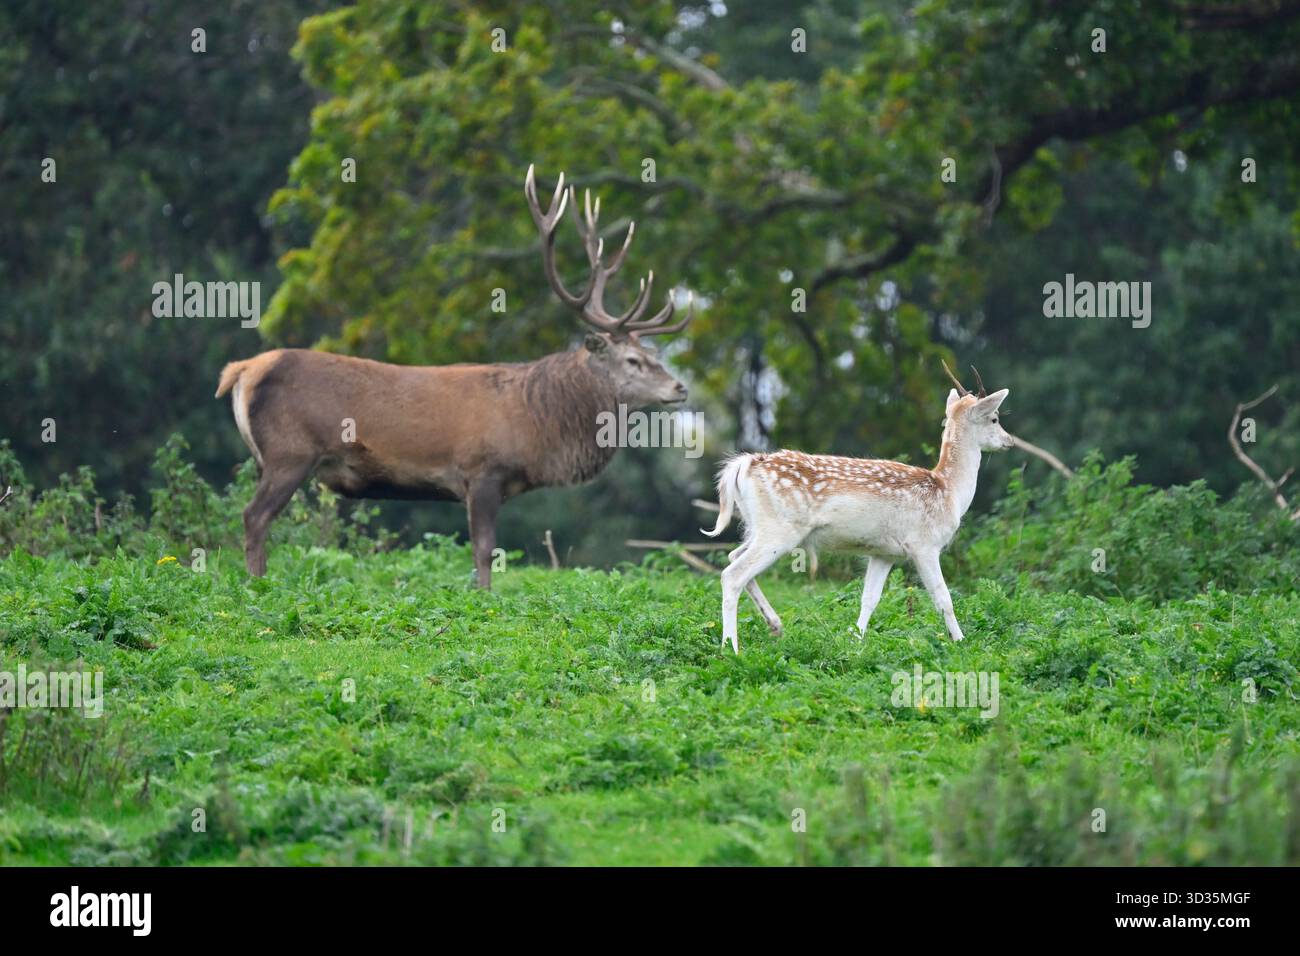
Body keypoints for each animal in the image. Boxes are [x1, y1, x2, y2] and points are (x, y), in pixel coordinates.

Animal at [215, 166, 693, 588]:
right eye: (632, 360)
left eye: (652, 353)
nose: (680, 387)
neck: (536, 422)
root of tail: (242, 370)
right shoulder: (481, 471)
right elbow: (484, 550)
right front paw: (484, 598)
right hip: (290, 452)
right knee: (254, 516)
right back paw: (259, 587)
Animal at [702, 362, 1013, 652]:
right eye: (995, 418)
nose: (1009, 441)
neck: (949, 492)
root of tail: (743, 465)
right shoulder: (924, 544)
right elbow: (943, 597)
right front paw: (960, 641)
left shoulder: (884, 553)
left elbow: (869, 599)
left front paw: (855, 641)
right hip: (779, 529)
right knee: (733, 574)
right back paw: (730, 646)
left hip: (758, 525)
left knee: (733, 556)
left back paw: (775, 625)